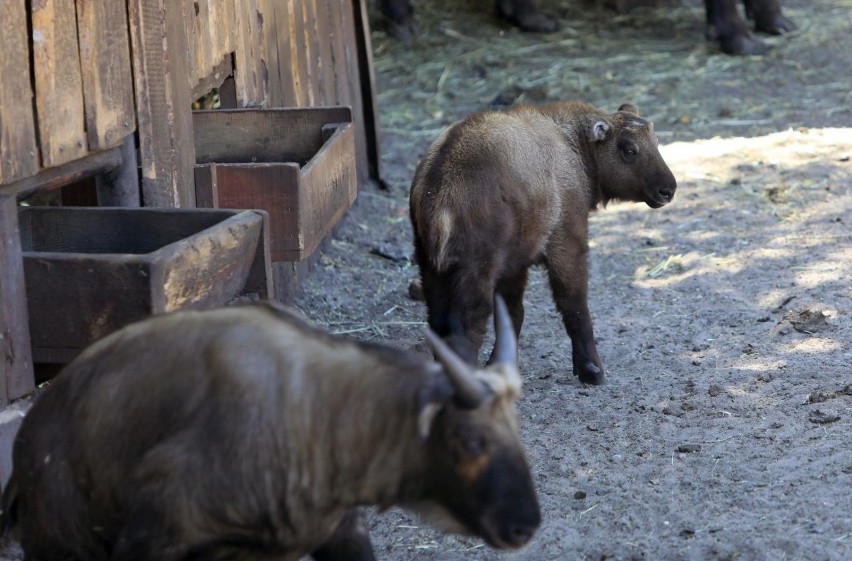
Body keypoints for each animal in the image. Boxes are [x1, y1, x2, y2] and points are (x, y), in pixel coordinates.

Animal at [410, 100, 676, 384]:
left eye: (656, 141)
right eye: (629, 149)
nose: (667, 190)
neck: (574, 145)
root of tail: (438, 193)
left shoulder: (514, 267)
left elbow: (513, 314)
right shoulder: (567, 246)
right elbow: (575, 308)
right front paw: (592, 371)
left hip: (432, 269)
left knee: (439, 326)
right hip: (474, 272)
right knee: (465, 329)